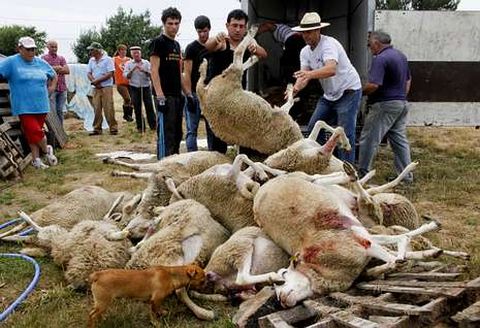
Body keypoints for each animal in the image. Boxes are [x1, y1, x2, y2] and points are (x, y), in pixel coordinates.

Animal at [196, 25, 302, 154]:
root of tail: (204, 98)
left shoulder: (281, 113)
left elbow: (289, 103)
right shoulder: (282, 114)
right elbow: (290, 102)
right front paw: (291, 90)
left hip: (225, 78)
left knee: (202, 81)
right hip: (234, 75)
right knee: (238, 53)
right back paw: (252, 34)